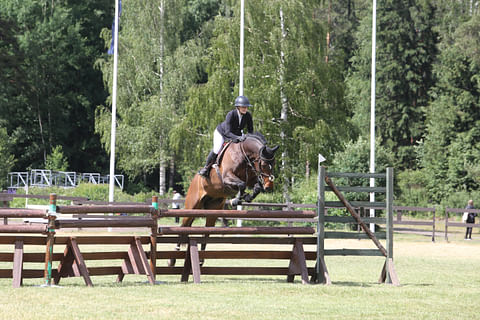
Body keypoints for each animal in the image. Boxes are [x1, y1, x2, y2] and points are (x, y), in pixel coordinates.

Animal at [169, 131, 280, 266]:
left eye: (274, 163)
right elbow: (242, 184)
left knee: (206, 231)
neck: (244, 155)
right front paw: (236, 200)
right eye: (264, 164)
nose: (269, 186)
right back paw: (172, 259)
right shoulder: (227, 177)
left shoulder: (251, 177)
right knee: (183, 227)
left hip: (213, 210)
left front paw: (246, 197)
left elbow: (256, 187)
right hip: (191, 207)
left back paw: (200, 260)